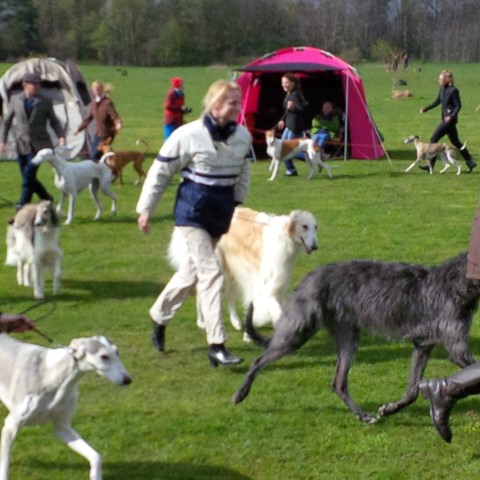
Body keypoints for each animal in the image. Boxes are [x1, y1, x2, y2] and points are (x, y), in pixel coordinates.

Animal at [0, 335, 131, 480]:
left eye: (117, 352)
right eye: (104, 356)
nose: (128, 380)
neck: (52, 375)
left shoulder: (62, 428)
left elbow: (96, 457)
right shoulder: (11, 426)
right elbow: (4, 463)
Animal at [168, 207, 318, 335]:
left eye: (315, 227)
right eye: (304, 226)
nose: (315, 246)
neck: (284, 235)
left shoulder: (277, 282)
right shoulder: (263, 282)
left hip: (231, 272)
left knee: (229, 296)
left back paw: (235, 322)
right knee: (202, 291)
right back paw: (202, 322)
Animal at [233, 253, 480, 424]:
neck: (459, 281)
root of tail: (308, 278)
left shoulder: (423, 345)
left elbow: (412, 391)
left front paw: (389, 409)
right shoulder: (454, 345)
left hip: (347, 336)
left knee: (339, 383)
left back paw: (362, 415)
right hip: (299, 329)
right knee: (258, 360)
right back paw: (240, 393)